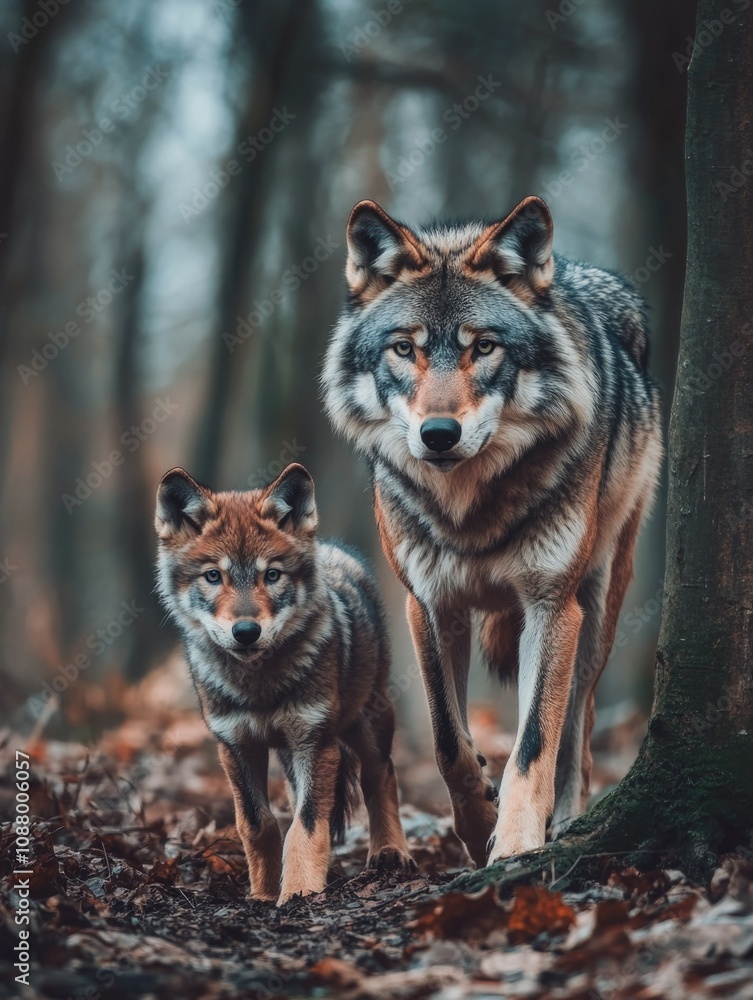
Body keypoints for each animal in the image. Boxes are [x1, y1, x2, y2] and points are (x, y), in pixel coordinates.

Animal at [155, 462, 414, 904]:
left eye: (272, 575)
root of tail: (333, 548)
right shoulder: (236, 747)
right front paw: (261, 894)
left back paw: (390, 852)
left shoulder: (316, 742)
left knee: (380, 776)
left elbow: (308, 825)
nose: (246, 631)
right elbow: (258, 824)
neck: (260, 686)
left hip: (366, 723)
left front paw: (299, 892)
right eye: (213, 576)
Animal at [323, 196, 662, 866]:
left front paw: (517, 844)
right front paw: (479, 825)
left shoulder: (552, 606)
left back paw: (569, 818)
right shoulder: (429, 605)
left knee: (578, 730)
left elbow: (533, 744)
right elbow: (448, 741)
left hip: (597, 608)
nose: (438, 435)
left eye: (483, 348)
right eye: (404, 349)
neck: (470, 511)